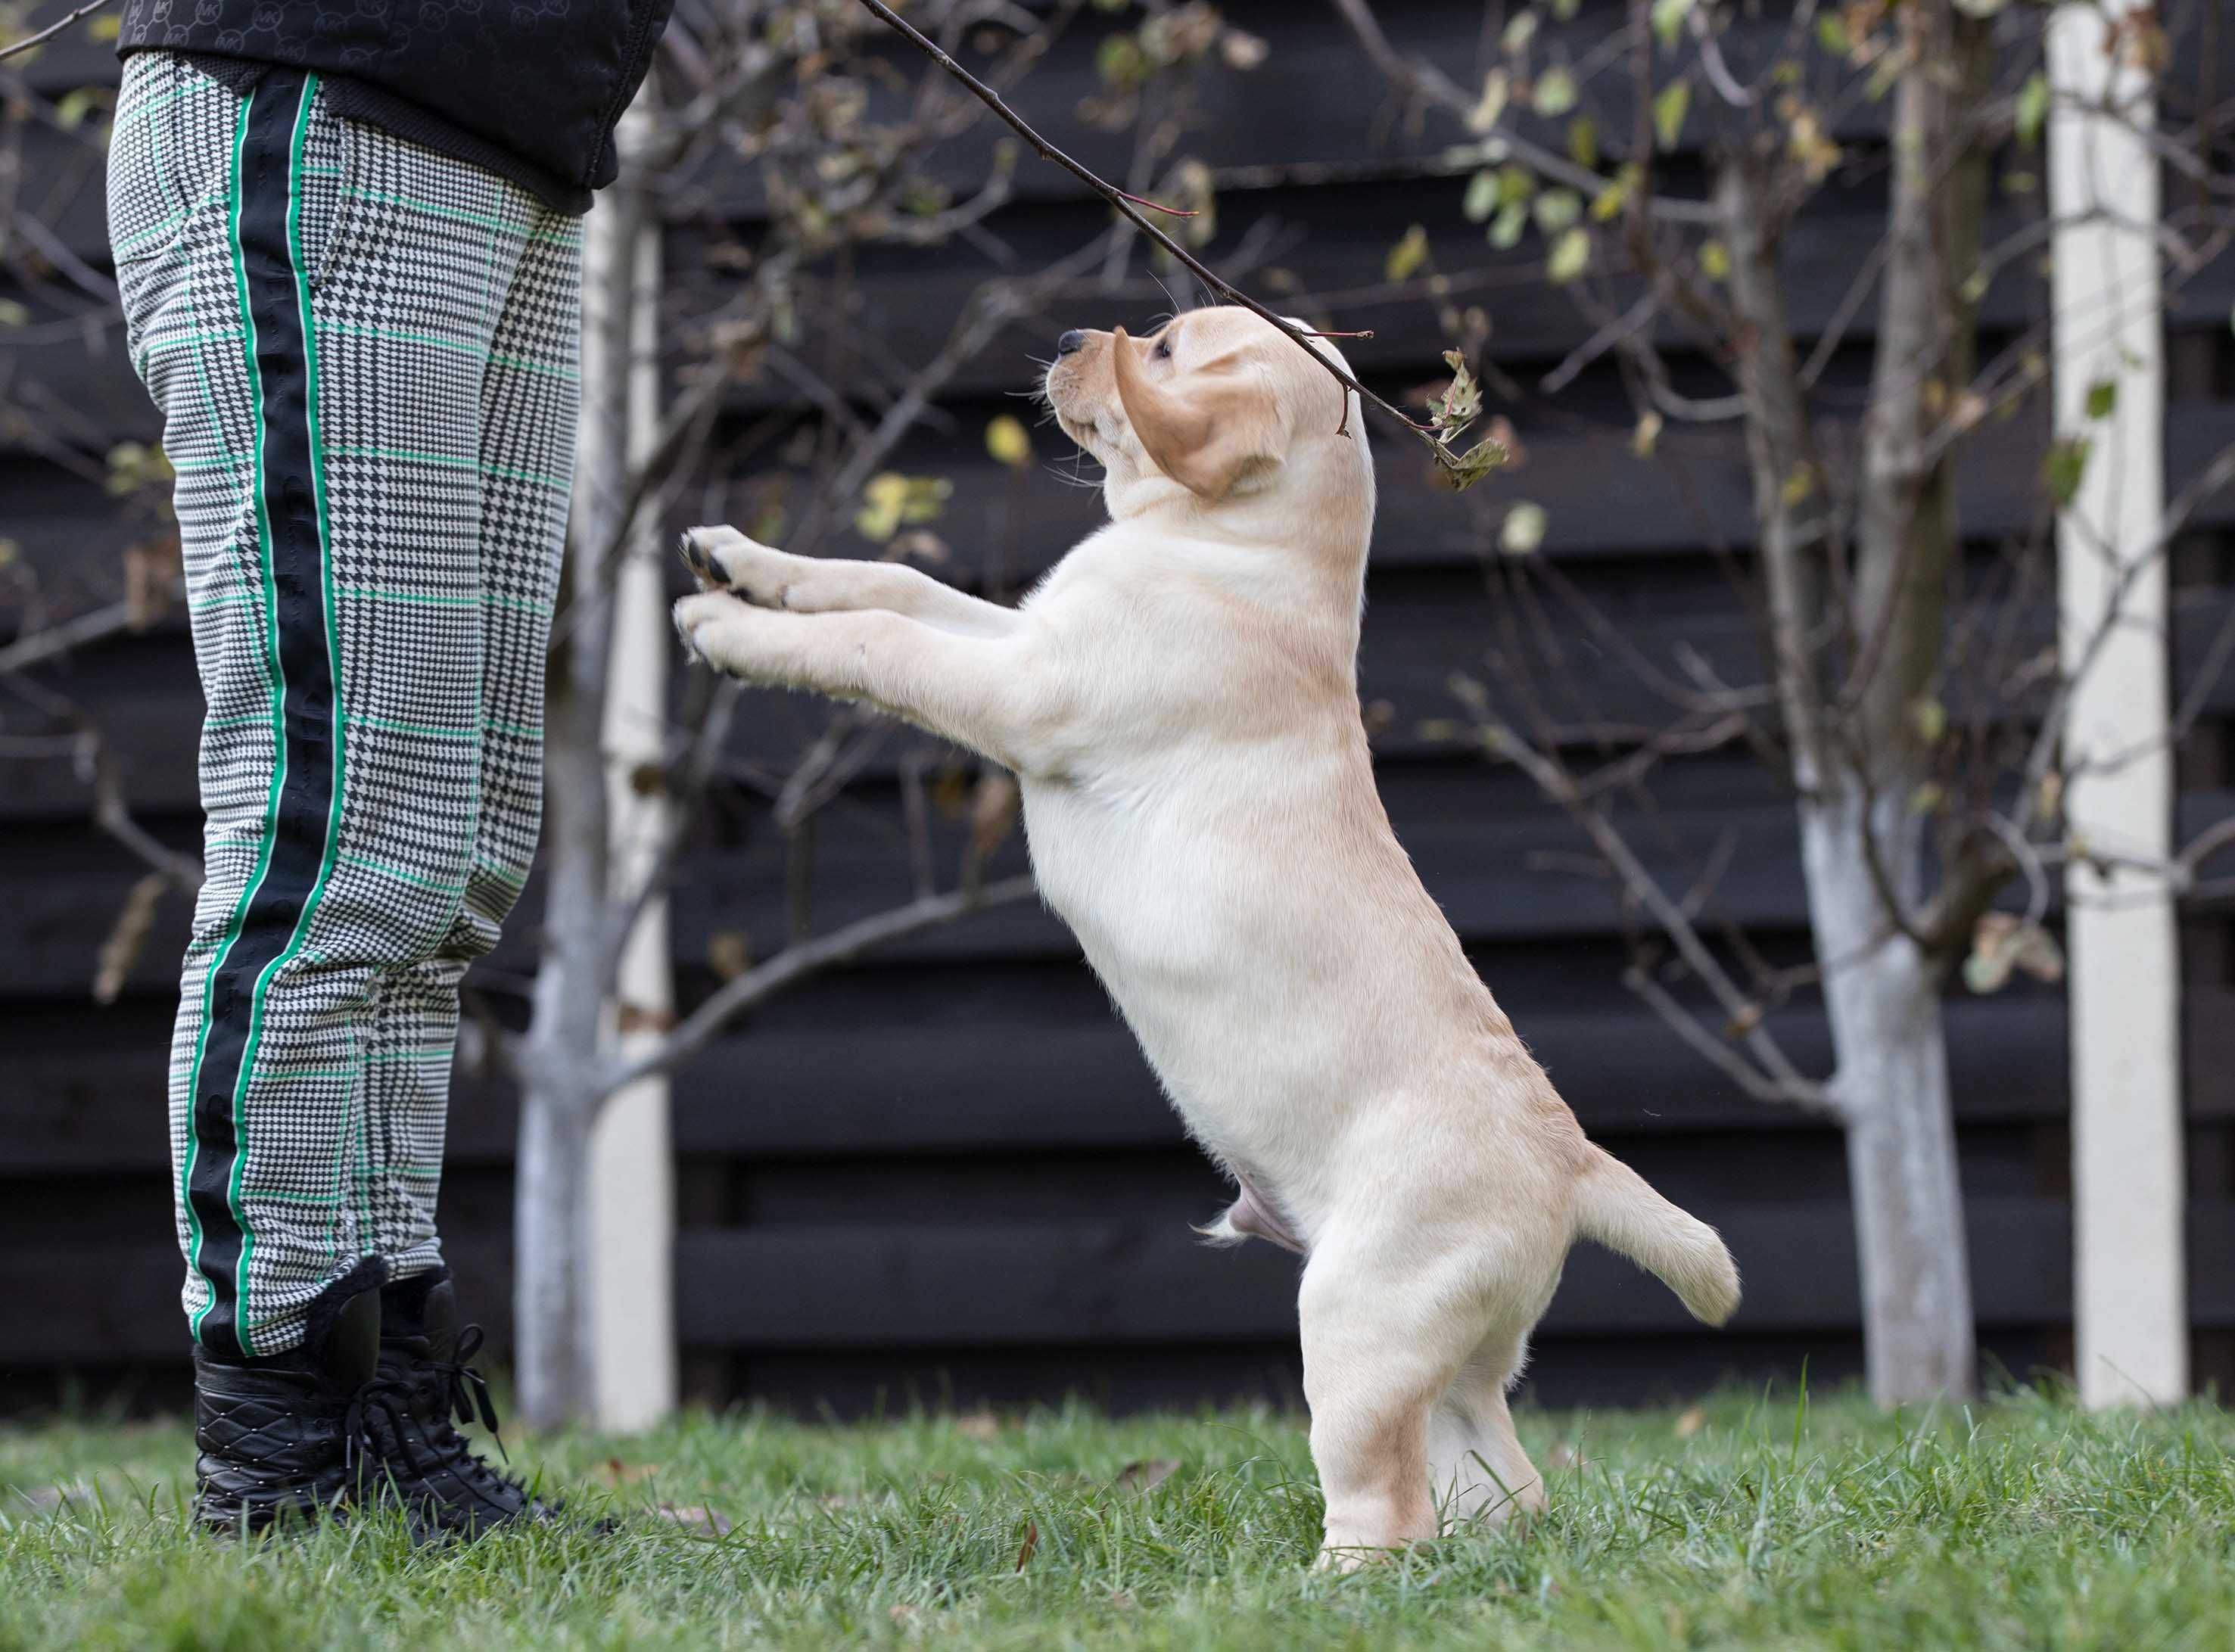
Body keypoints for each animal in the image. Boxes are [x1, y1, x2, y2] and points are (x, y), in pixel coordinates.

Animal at [670, 306, 1734, 1564]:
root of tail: (1572, 1162)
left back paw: (1329, 1580)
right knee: (1492, 1473)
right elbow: (891, 578)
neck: (1240, 554)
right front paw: (740, 562)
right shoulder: (1023, 631)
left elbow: (882, 638)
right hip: (1449, 1357)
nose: (1071, 334)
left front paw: (729, 628)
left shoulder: (1021, 686)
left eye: (1167, 347)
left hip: (1359, 1316)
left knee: (1386, 1498)